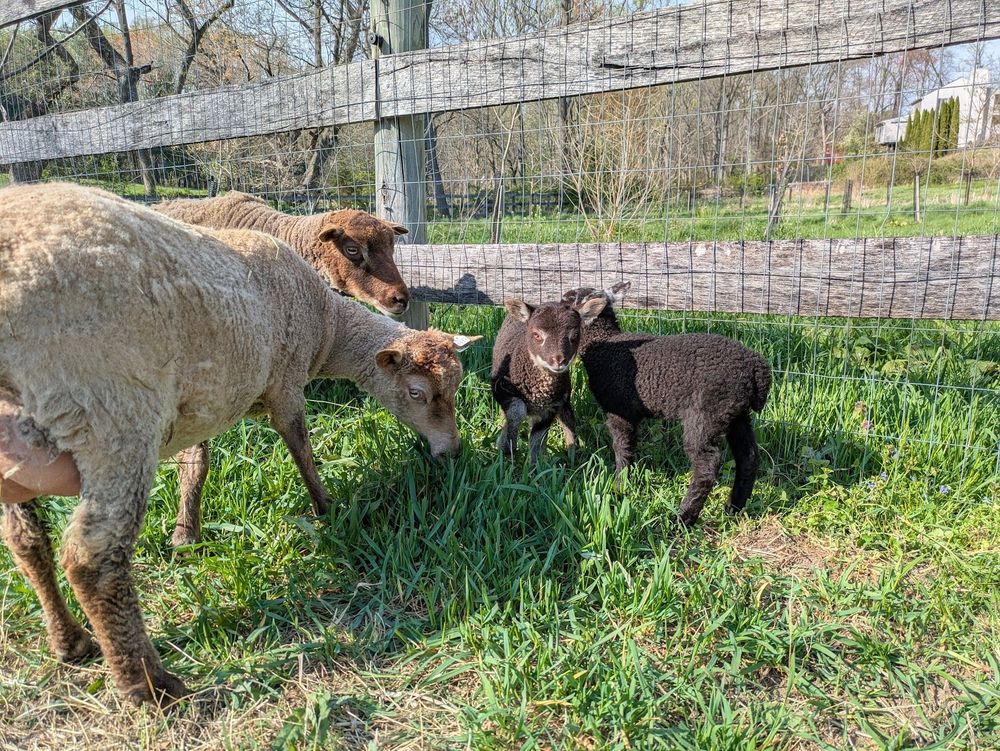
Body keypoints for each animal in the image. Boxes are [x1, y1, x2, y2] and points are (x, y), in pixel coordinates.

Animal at [491, 298, 605, 463]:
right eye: (537, 335)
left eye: (575, 334)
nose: (558, 361)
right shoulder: (501, 389)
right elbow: (517, 412)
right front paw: (507, 448)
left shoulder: (552, 406)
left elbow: (537, 439)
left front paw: (533, 465)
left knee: (567, 421)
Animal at [563, 283, 772, 527]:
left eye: (567, 301)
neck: (603, 343)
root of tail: (756, 370)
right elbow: (631, 446)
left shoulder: (619, 409)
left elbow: (622, 448)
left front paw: (619, 487)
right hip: (735, 413)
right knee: (748, 457)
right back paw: (734, 508)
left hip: (706, 414)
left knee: (706, 466)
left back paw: (683, 518)